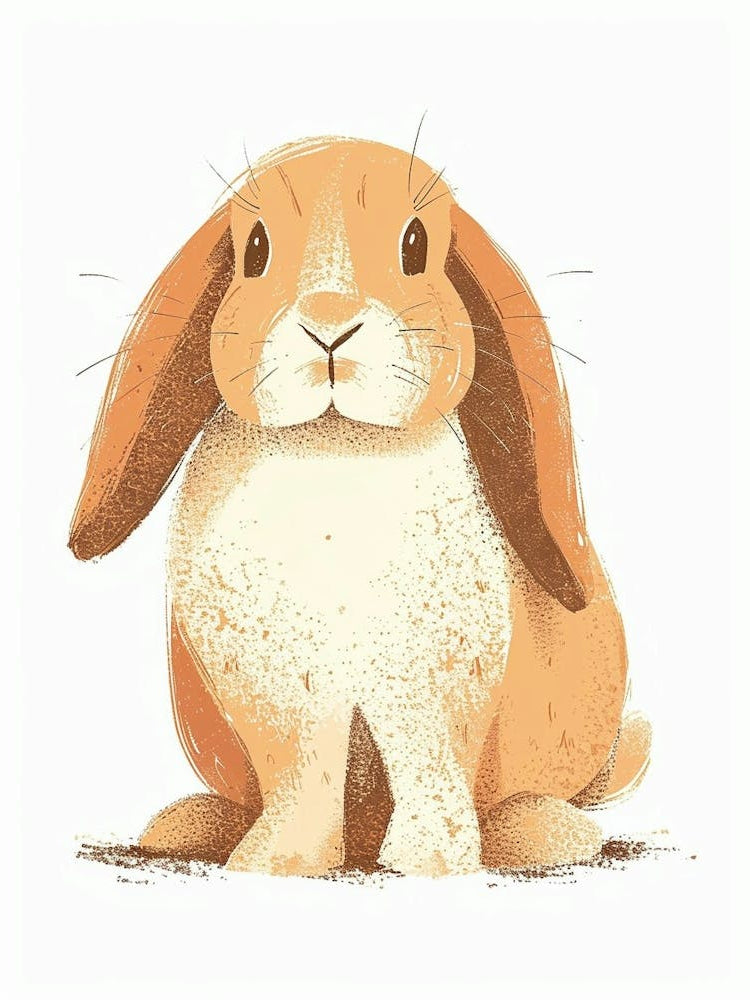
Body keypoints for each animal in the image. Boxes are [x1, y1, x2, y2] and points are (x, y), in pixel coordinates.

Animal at [69, 136, 651, 876]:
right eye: (254, 249)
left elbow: (431, 768)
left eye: (416, 244)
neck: (336, 449)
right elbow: (301, 781)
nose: (329, 325)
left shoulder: (431, 692)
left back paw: (545, 833)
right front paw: (274, 862)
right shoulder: (283, 703)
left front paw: (435, 860)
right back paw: (189, 825)